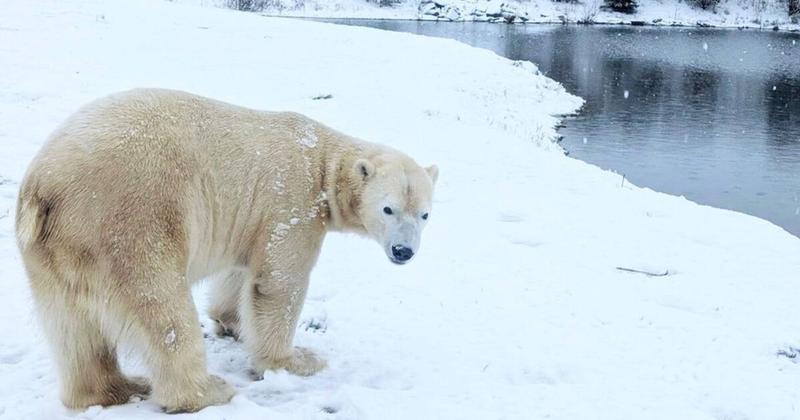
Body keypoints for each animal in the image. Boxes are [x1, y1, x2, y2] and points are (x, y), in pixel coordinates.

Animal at [15, 88, 438, 414]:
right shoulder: (293, 203)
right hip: (131, 222)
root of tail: (45, 188)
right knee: (163, 311)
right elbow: (280, 282)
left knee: (73, 327)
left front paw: (231, 322)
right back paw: (205, 389)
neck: (321, 160)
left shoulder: (251, 217)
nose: (403, 250)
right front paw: (294, 361)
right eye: (388, 209)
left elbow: (242, 271)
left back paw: (117, 388)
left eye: (425, 214)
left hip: (55, 253)